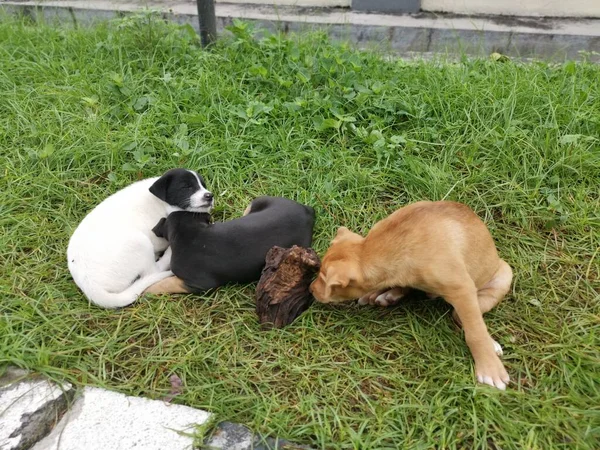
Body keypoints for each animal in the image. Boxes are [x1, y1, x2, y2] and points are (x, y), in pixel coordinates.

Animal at [66, 169, 213, 310]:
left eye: (203, 185)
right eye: (186, 187)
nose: (210, 196)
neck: (161, 204)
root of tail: (91, 287)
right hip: (139, 242)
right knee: (154, 270)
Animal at [145, 195, 316, 294]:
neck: (190, 231)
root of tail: (307, 210)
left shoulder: (199, 284)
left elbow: (167, 283)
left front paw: (148, 291)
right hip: (257, 202)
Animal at [312, 200, 512, 390]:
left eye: (325, 280)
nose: (311, 290)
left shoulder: (462, 288)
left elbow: (475, 331)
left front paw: (490, 369)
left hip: (503, 274)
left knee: (462, 315)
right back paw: (386, 294)